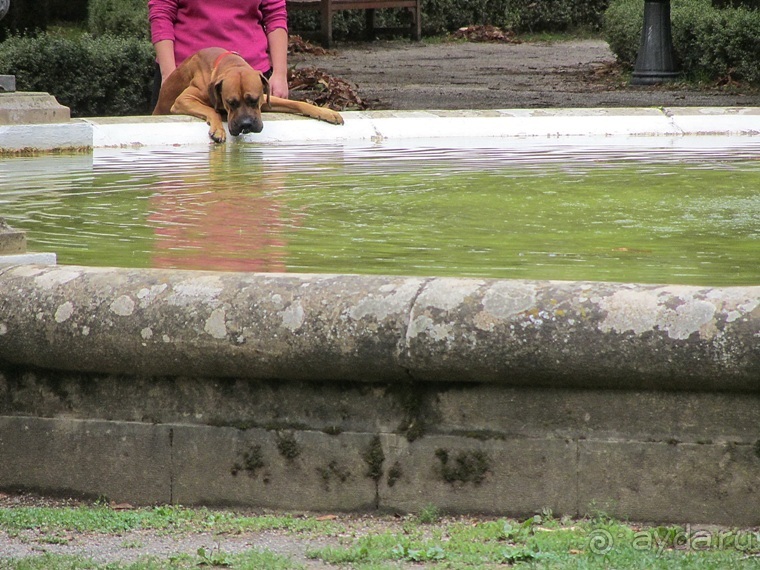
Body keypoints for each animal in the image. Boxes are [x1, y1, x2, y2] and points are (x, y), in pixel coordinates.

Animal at [153, 47, 342, 143]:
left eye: (254, 100)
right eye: (230, 103)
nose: (246, 124)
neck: (230, 64)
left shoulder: (266, 100)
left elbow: (296, 103)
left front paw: (326, 112)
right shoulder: (183, 100)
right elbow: (212, 110)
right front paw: (218, 129)